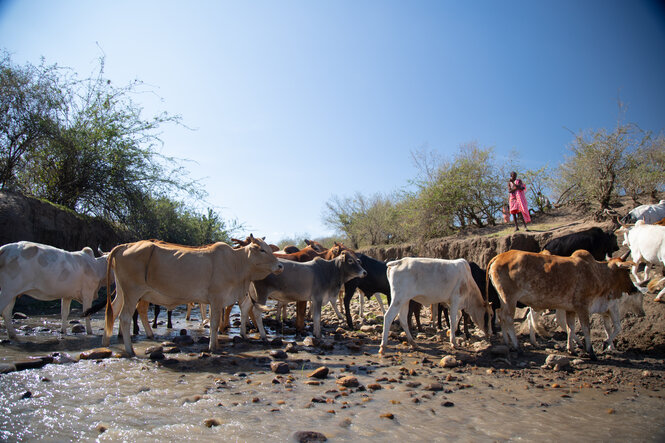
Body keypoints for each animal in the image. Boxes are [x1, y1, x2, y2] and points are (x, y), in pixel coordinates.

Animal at [104, 236, 282, 358]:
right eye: (262, 250)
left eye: (269, 249)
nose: (280, 265)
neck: (236, 263)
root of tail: (124, 245)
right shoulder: (216, 299)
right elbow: (214, 323)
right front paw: (212, 347)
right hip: (132, 292)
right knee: (124, 317)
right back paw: (130, 350)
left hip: (123, 292)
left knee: (114, 311)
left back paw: (106, 342)